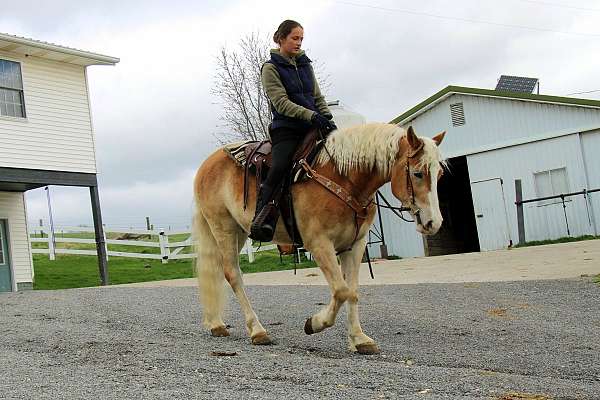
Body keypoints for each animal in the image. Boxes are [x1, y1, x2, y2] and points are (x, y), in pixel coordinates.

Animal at [192, 123, 446, 354]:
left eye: (440, 174)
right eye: (418, 173)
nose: (434, 223)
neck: (344, 179)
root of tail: (205, 165)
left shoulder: (355, 245)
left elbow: (352, 292)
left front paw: (359, 339)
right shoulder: (319, 243)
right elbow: (341, 290)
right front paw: (314, 324)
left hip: (238, 232)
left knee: (218, 270)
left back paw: (216, 324)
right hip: (223, 227)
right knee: (233, 274)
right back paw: (257, 330)